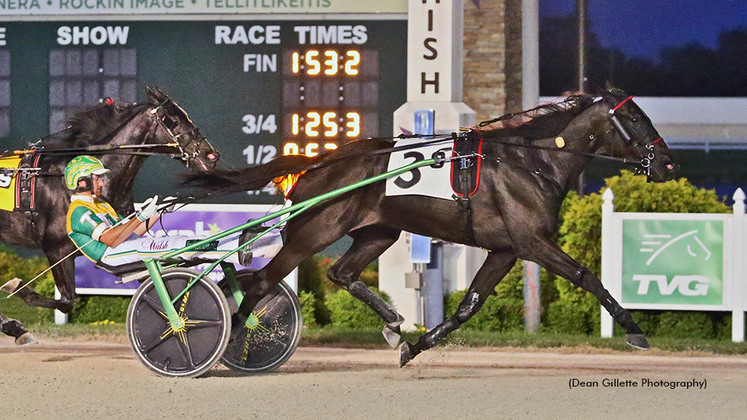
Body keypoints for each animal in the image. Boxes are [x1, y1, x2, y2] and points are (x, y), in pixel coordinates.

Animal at [183, 88, 676, 364]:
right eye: (635, 118)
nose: (668, 163)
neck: (531, 161)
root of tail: (318, 162)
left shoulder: (506, 249)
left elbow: (468, 306)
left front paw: (415, 345)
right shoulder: (533, 242)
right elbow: (586, 275)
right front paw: (634, 329)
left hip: (378, 231)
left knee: (340, 273)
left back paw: (393, 323)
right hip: (312, 232)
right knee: (262, 281)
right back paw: (228, 337)